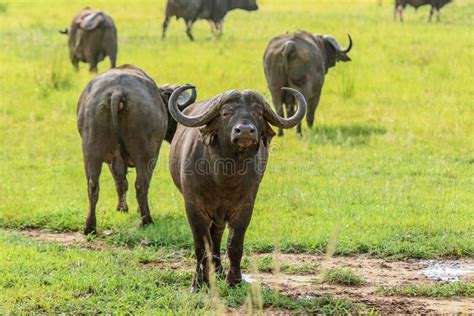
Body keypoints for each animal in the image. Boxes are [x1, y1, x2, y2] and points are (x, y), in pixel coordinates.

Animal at [168, 85, 306, 290]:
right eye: (226, 113)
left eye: (258, 113)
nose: (245, 131)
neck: (224, 177)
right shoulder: (193, 206)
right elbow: (201, 244)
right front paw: (199, 283)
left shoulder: (245, 207)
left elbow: (234, 243)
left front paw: (234, 280)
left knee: (217, 233)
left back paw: (218, 269)